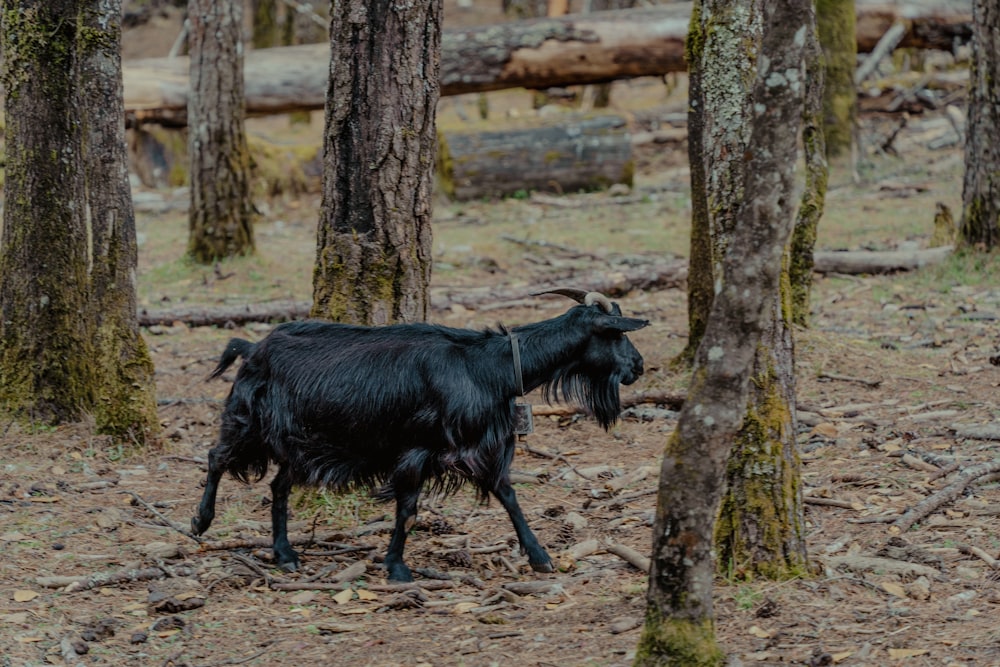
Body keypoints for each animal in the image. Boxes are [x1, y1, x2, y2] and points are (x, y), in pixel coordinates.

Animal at [193, 290, 648, 580]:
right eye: (617, 332)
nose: (639, 366)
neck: (488, 368)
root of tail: (252, 348)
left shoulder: (479, 449)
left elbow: (509, 496)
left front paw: (540, 557)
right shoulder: (415, 449)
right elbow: (408, 509)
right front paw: (397, 568)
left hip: (299, 442)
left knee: (279, 486)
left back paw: (285, 554)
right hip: (249, 423)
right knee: (217, 456)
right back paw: (201, 522)